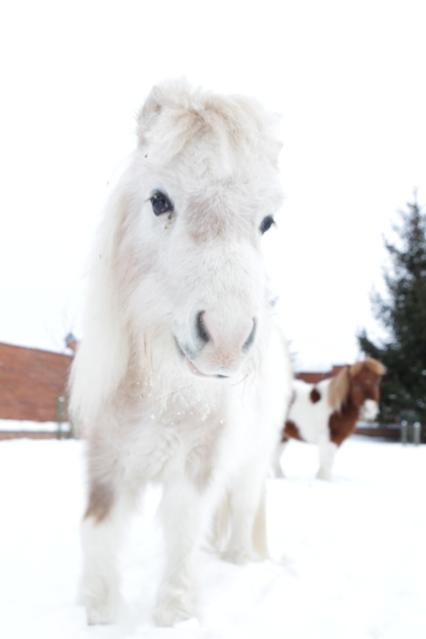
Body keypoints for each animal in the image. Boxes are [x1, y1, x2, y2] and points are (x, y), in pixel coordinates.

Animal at [70, 80, 292, 624]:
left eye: (267, 222)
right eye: (158, 200)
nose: (227, 340)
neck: (161, 391)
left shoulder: (198, 464)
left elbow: (183, 531)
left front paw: (175, 612)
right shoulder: (105, 458)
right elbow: (98, 529)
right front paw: (98, 611)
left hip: (253, 460)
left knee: (241, 508)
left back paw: (236, 559)